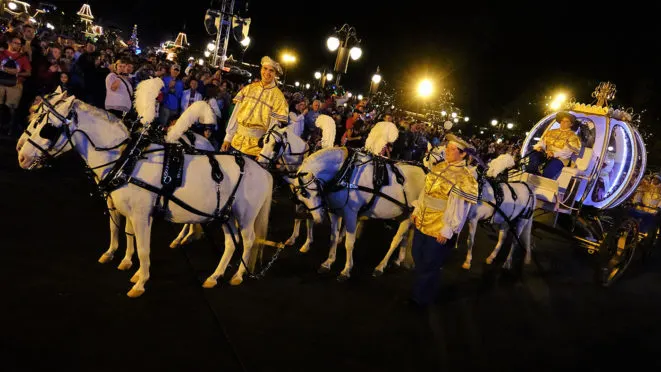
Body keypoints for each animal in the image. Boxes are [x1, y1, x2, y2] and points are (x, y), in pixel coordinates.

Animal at [18, 97, 272, 298]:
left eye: (47, 127)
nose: (21, 156)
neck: (126, 159)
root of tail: (263, 171)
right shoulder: (128, 211)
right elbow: (125, 233)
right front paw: (128, 264)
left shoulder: (141, 215)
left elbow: (143, 248)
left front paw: (140, 283)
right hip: (226, 216)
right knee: (231, 243)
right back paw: (214, 276)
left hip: (245, 216)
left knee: (248, 240)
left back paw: (238, 275)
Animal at [292, 147, 422, 280]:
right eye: (300, 199)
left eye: (316, 193)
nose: (318, 219)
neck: (345, 173)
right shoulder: (334, 212)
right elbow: (333, 237)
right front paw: (328, 263)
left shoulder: (351, 214)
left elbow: (349, 243)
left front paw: (346, 270)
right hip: (402, 214)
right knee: (405, 236)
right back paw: (399, 260)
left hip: (409, 216)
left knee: (396, 239)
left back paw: (380, 267)